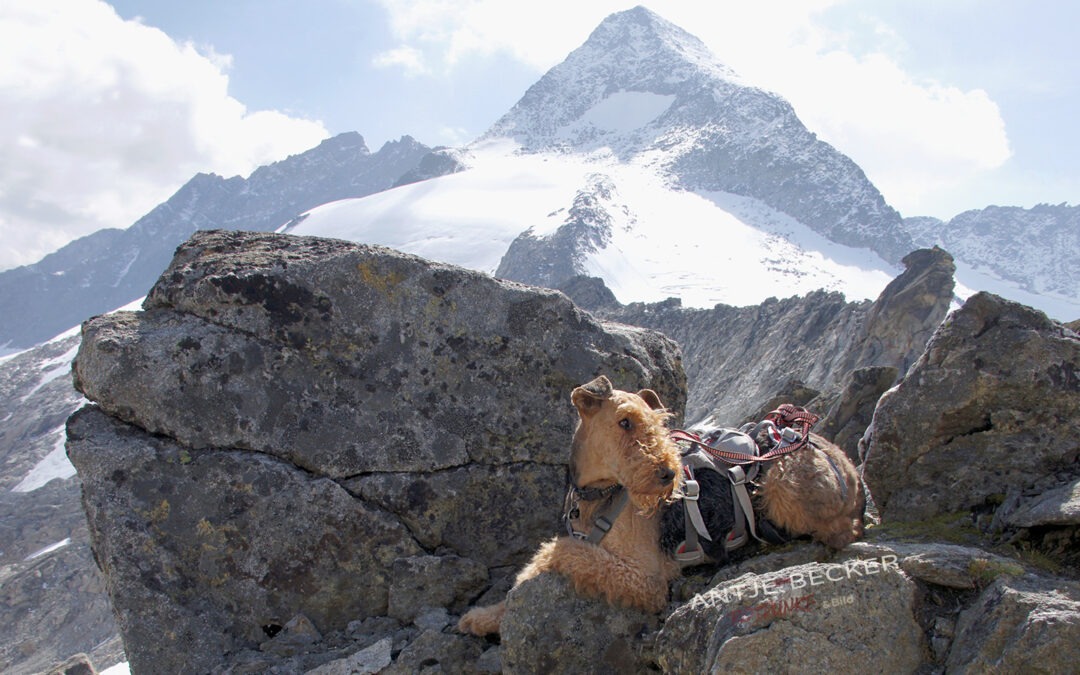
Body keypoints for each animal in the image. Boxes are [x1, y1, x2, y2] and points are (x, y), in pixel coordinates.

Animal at [460, 375, 864, 635]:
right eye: (624, 421)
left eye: (657, 422)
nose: (669, 474)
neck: (599, 496)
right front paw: (480, 618)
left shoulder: (645, 578)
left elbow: (555, 552)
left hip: (781, 481)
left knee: (841, 529)